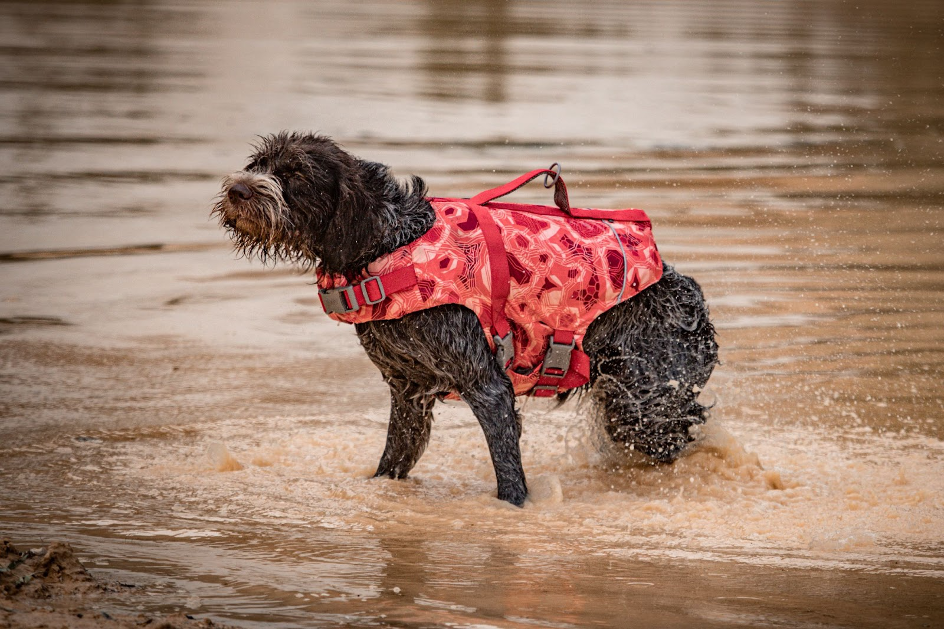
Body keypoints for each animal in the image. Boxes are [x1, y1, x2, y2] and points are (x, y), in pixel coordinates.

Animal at [214, 131, 716, 506]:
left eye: (296, 174)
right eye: (259, 162)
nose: (237, 190)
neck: (390, 244)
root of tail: (688, 293)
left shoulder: (487, 386)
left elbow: (509, 476)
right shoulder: (408, 392)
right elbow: (391, 463)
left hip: (646, 408)